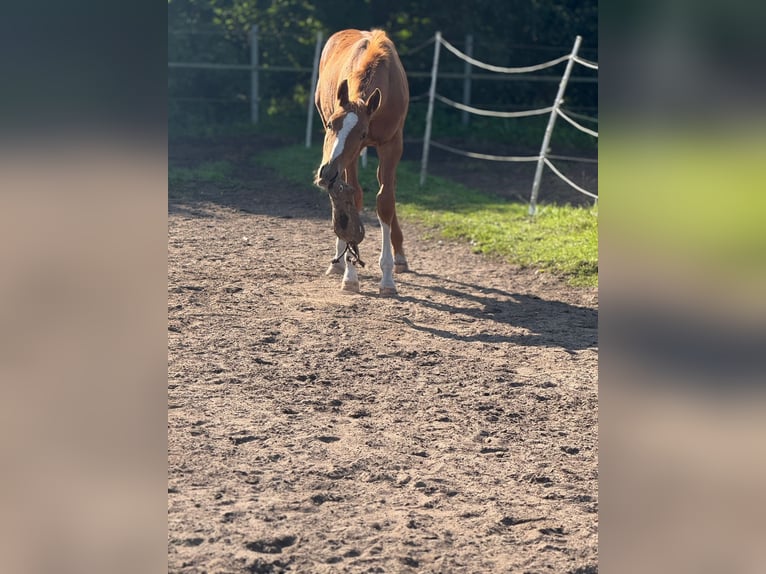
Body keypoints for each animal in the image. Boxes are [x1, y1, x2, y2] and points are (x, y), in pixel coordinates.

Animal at [314, 29, 409, 295]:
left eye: (362, 133)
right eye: (330, 125)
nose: (326, 173)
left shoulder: (392, 144)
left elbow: (385, 201)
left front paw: (387, 278)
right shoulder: (349, 157)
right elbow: (354, 196)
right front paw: (350, 273)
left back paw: (400, 257)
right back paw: (337, 261)